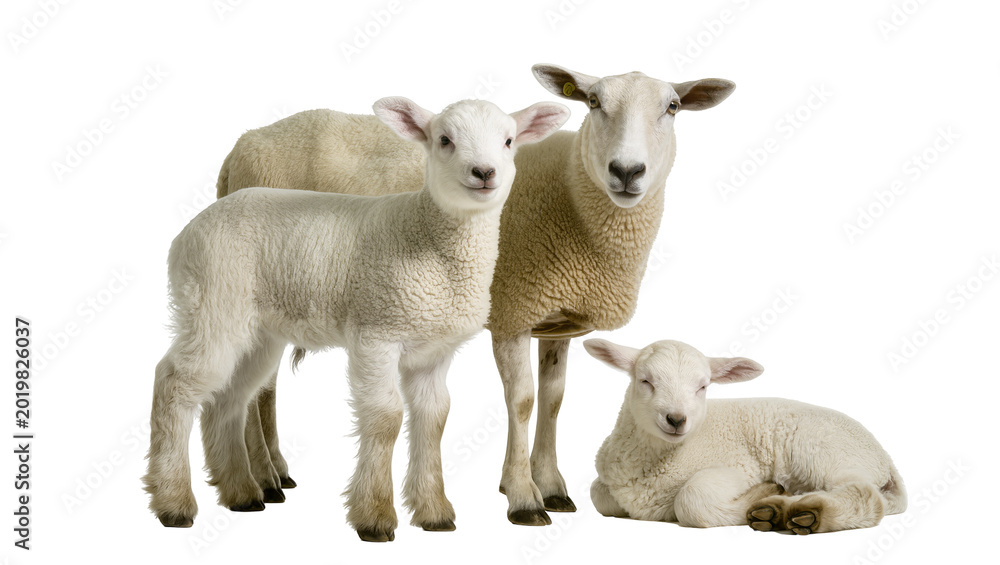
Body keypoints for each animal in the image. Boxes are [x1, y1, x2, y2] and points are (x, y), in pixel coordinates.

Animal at [143, 96, 570, 541]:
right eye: (444, 140)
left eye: (508, 141)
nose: (484, 172)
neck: (428, 236)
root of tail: (188, 232)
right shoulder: (376, 334)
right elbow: (386, 418)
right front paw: (375, 516)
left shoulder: (434, 350)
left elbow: (434, 419)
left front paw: (434, 511)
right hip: (214, 305)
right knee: (174, 384)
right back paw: (174, 502)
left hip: (255, 332)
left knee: (230, 397)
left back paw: (241, 493)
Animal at [216, 65, 736, 525]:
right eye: (593, 102)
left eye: (672, 107)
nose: (627, 171)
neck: (570, 197)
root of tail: (240, 145)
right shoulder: (513, 311)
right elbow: (522, 401)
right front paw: (523, 496)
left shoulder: (556, 323)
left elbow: (554, 399)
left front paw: (551, 485)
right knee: (258, 387)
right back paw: (263, 478)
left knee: (262, 386)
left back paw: (274, 472)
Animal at [583, 338, 908, 534]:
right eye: (645, 381)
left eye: (702, 387)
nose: (676, 419)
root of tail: (886, 458)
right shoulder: (608, 480)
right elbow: (597, 494)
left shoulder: (740, 468)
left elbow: (691, 499)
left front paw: (760, 493)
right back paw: (778, 509)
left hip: (824, 452)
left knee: (864, 495)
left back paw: (803, 512)